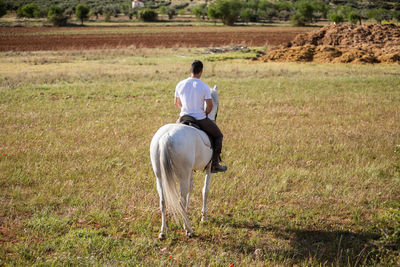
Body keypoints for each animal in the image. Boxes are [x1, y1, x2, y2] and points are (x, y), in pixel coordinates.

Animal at [150, 85, 220, 239]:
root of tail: (166, 137)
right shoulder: (209, 168)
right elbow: (205, 190)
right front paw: (203, 217)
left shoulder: (190, 172)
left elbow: (190, 189)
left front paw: (186, 215)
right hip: (182, 174)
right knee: (180, 200)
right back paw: (188, 229)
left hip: (159, 175)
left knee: (163, 200)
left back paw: (163, 232)